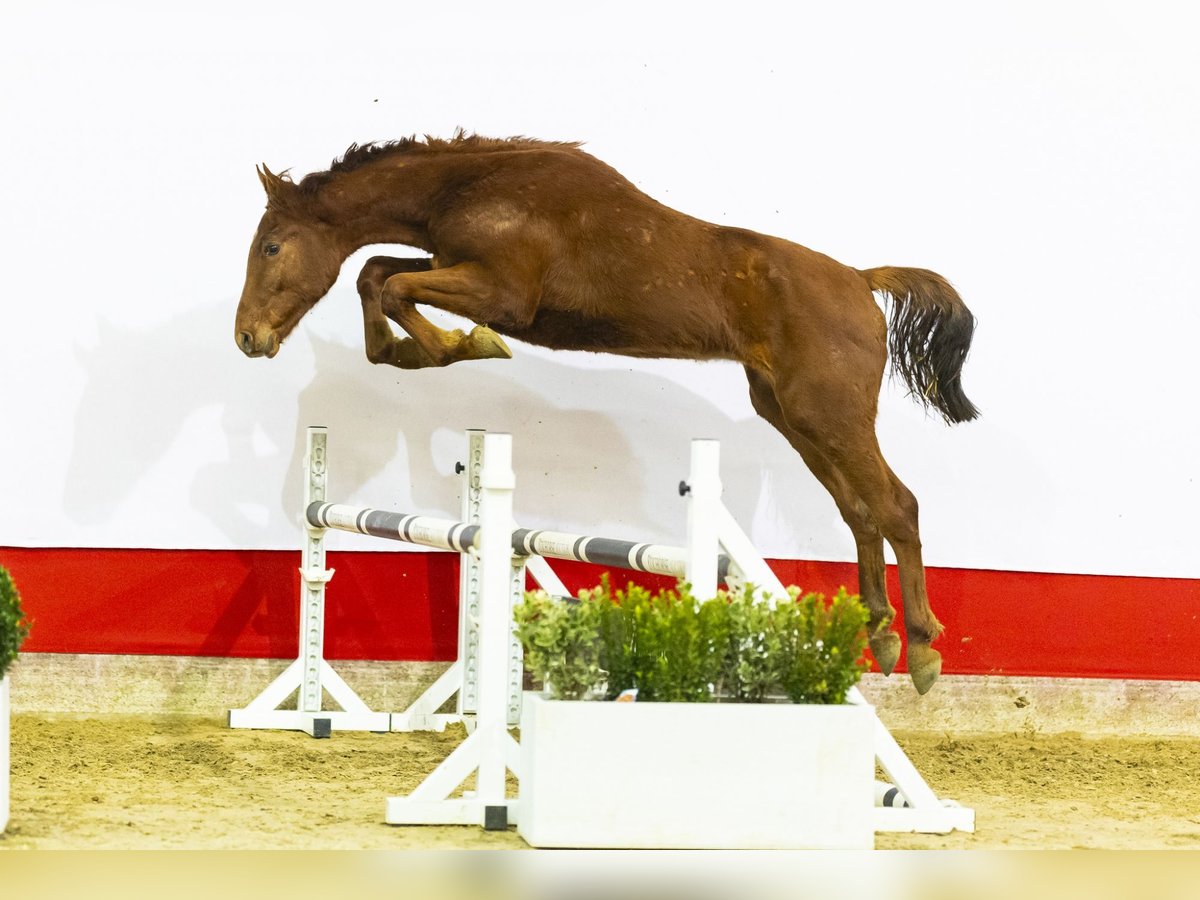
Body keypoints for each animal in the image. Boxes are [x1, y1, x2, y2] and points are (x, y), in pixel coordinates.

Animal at [231, 135, 974, 696]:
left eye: (271, 247)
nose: (246, 338)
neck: (472, 188)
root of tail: (859, 280)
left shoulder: (501, 292)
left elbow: (392, 284)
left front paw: (459, 346)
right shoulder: (453, 267)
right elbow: (377, 273)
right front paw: (416, 350)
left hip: (829, 412)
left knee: (896, 505)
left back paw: (922, 649)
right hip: (793, 415)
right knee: (861, 511)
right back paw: (881, 634)